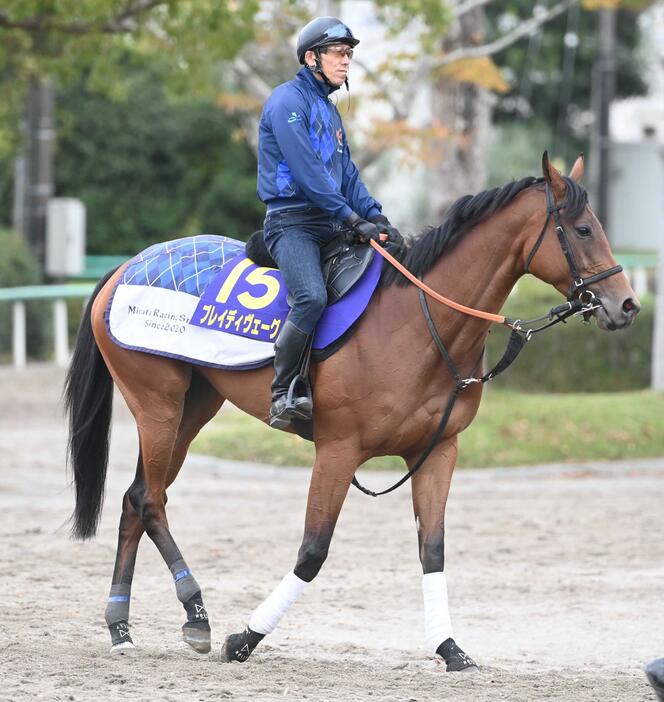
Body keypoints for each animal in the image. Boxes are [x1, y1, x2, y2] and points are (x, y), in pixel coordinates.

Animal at [65, 153, 640, 672]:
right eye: (584, 229)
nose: (628, 304)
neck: (418, 321)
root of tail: (124, 267)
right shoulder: (338, 452)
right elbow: (312, 552)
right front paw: (245, 638)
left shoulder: (438, 451)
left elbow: (432, 550)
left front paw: (449, 648)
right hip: (157, 406)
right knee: (152, 502)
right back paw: (196, 615)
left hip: (193, 408)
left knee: (136, 499)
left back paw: (121, 627)